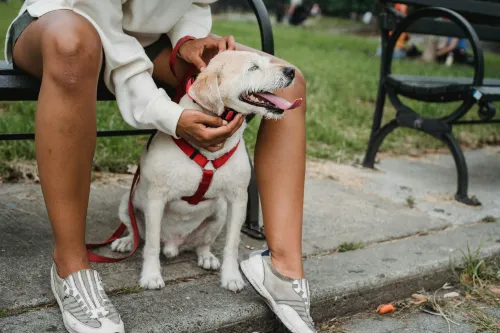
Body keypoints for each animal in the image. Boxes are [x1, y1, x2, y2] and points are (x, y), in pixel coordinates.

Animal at [110, 49, 300, 290]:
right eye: (253, 67)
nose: (291, 71)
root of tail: (174, 243)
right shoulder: (155, 200)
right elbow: (151, 245)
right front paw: (151, 275)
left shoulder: (238, 199)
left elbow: (232, 244)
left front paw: (231, 276)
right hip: (126, 203)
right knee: (137, 234)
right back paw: (126, 242)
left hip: (219, 214)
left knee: (203, 243)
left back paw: (206, 257)